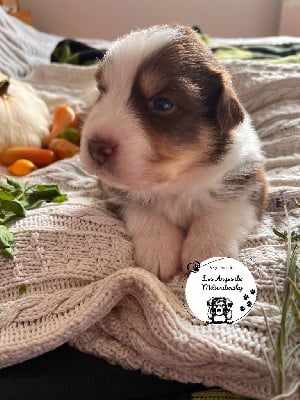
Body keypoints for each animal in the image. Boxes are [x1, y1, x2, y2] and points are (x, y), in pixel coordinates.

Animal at [79, 25, 268, 282]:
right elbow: (145, 212)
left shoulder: (249, 181)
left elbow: (220, 213)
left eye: (162, 104)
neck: (176, 181)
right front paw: (159, 250)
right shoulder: (112, 190)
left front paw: (208, 252)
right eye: (102, 92)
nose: (96, 147)